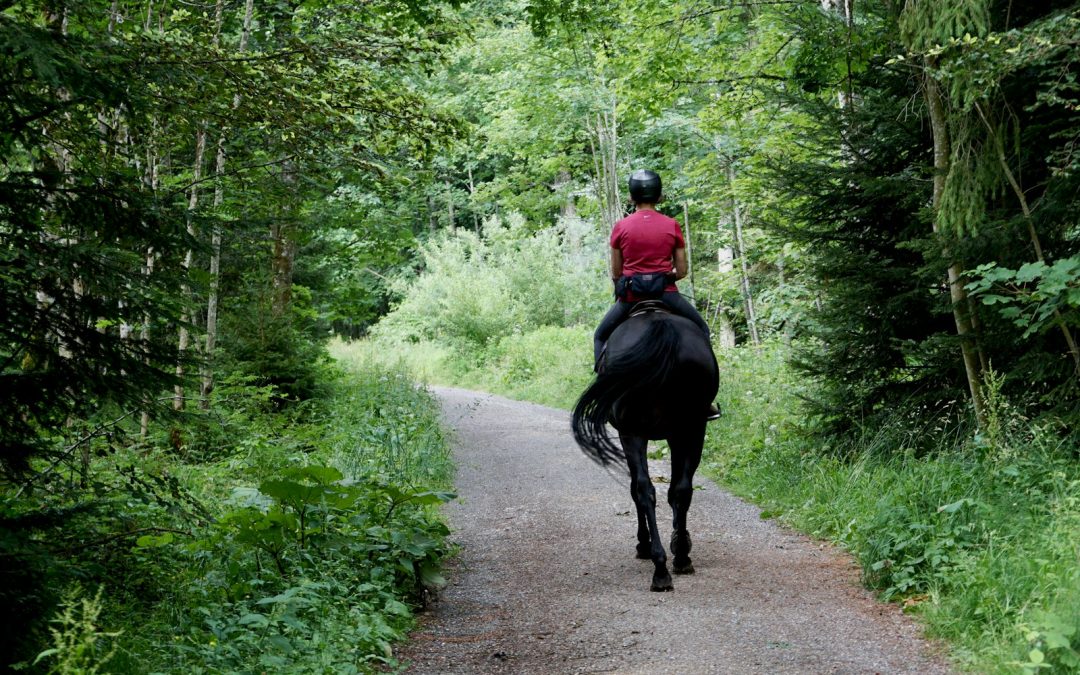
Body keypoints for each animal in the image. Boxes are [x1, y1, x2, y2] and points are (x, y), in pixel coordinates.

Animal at [574, 308, 717, 591]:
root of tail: (661, 327)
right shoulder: (678, 434)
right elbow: (675, 490)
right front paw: (678, 539)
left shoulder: (632, 434)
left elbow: (636, 489)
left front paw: (645, 543)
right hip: (692, 428)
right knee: (680, 489)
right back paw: (680, 558)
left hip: (634, 432)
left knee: (644, 490)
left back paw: (659, 565)